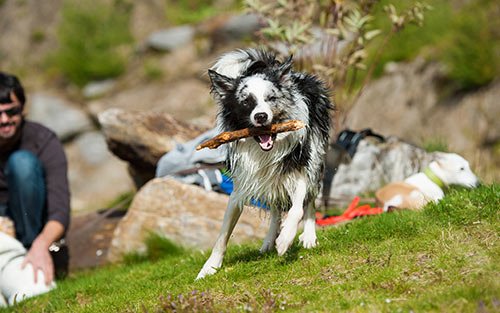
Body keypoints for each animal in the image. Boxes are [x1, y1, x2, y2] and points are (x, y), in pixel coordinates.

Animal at [197, 48, 334, 278]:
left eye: (271, 98)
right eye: (246, 101)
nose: (261, 116)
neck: (266, 149)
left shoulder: (300, 170)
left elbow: (297, 208)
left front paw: (286, 239)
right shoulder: (242, 184)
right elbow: (223, 234)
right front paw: (209, 267)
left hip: (315, 157)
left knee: (309, 201)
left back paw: (308, 236)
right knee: (276, 208)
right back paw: (269, 240)